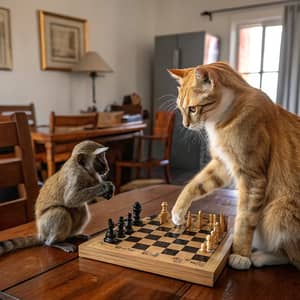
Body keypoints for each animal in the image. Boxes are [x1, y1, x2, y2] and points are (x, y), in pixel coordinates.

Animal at [169, 61, 300, 270]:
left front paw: (240, 254)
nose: (185, 125)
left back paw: (259, 257)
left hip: (279, 212)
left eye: (192, 109)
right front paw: (178, 211)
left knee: (291, 256)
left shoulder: (252, 178)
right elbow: (194, 184)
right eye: (181, 109)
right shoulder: (222, 164)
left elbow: (244, 221)